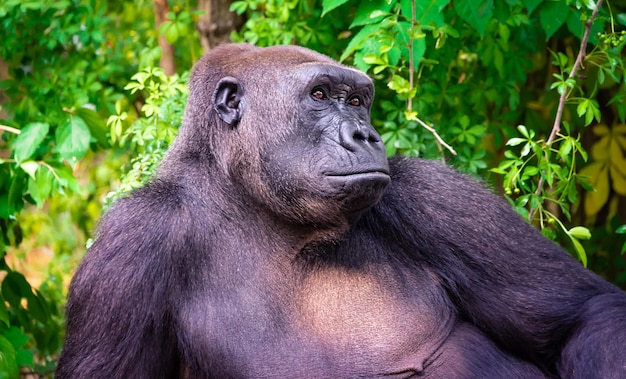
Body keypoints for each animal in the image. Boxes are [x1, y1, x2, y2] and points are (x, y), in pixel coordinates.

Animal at [54, 43, 624, 378]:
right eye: (321, 94)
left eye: (356, 102)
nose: (366, 135)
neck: (245, 200)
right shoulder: (132, 242)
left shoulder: (431, 194)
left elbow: (586, 315)